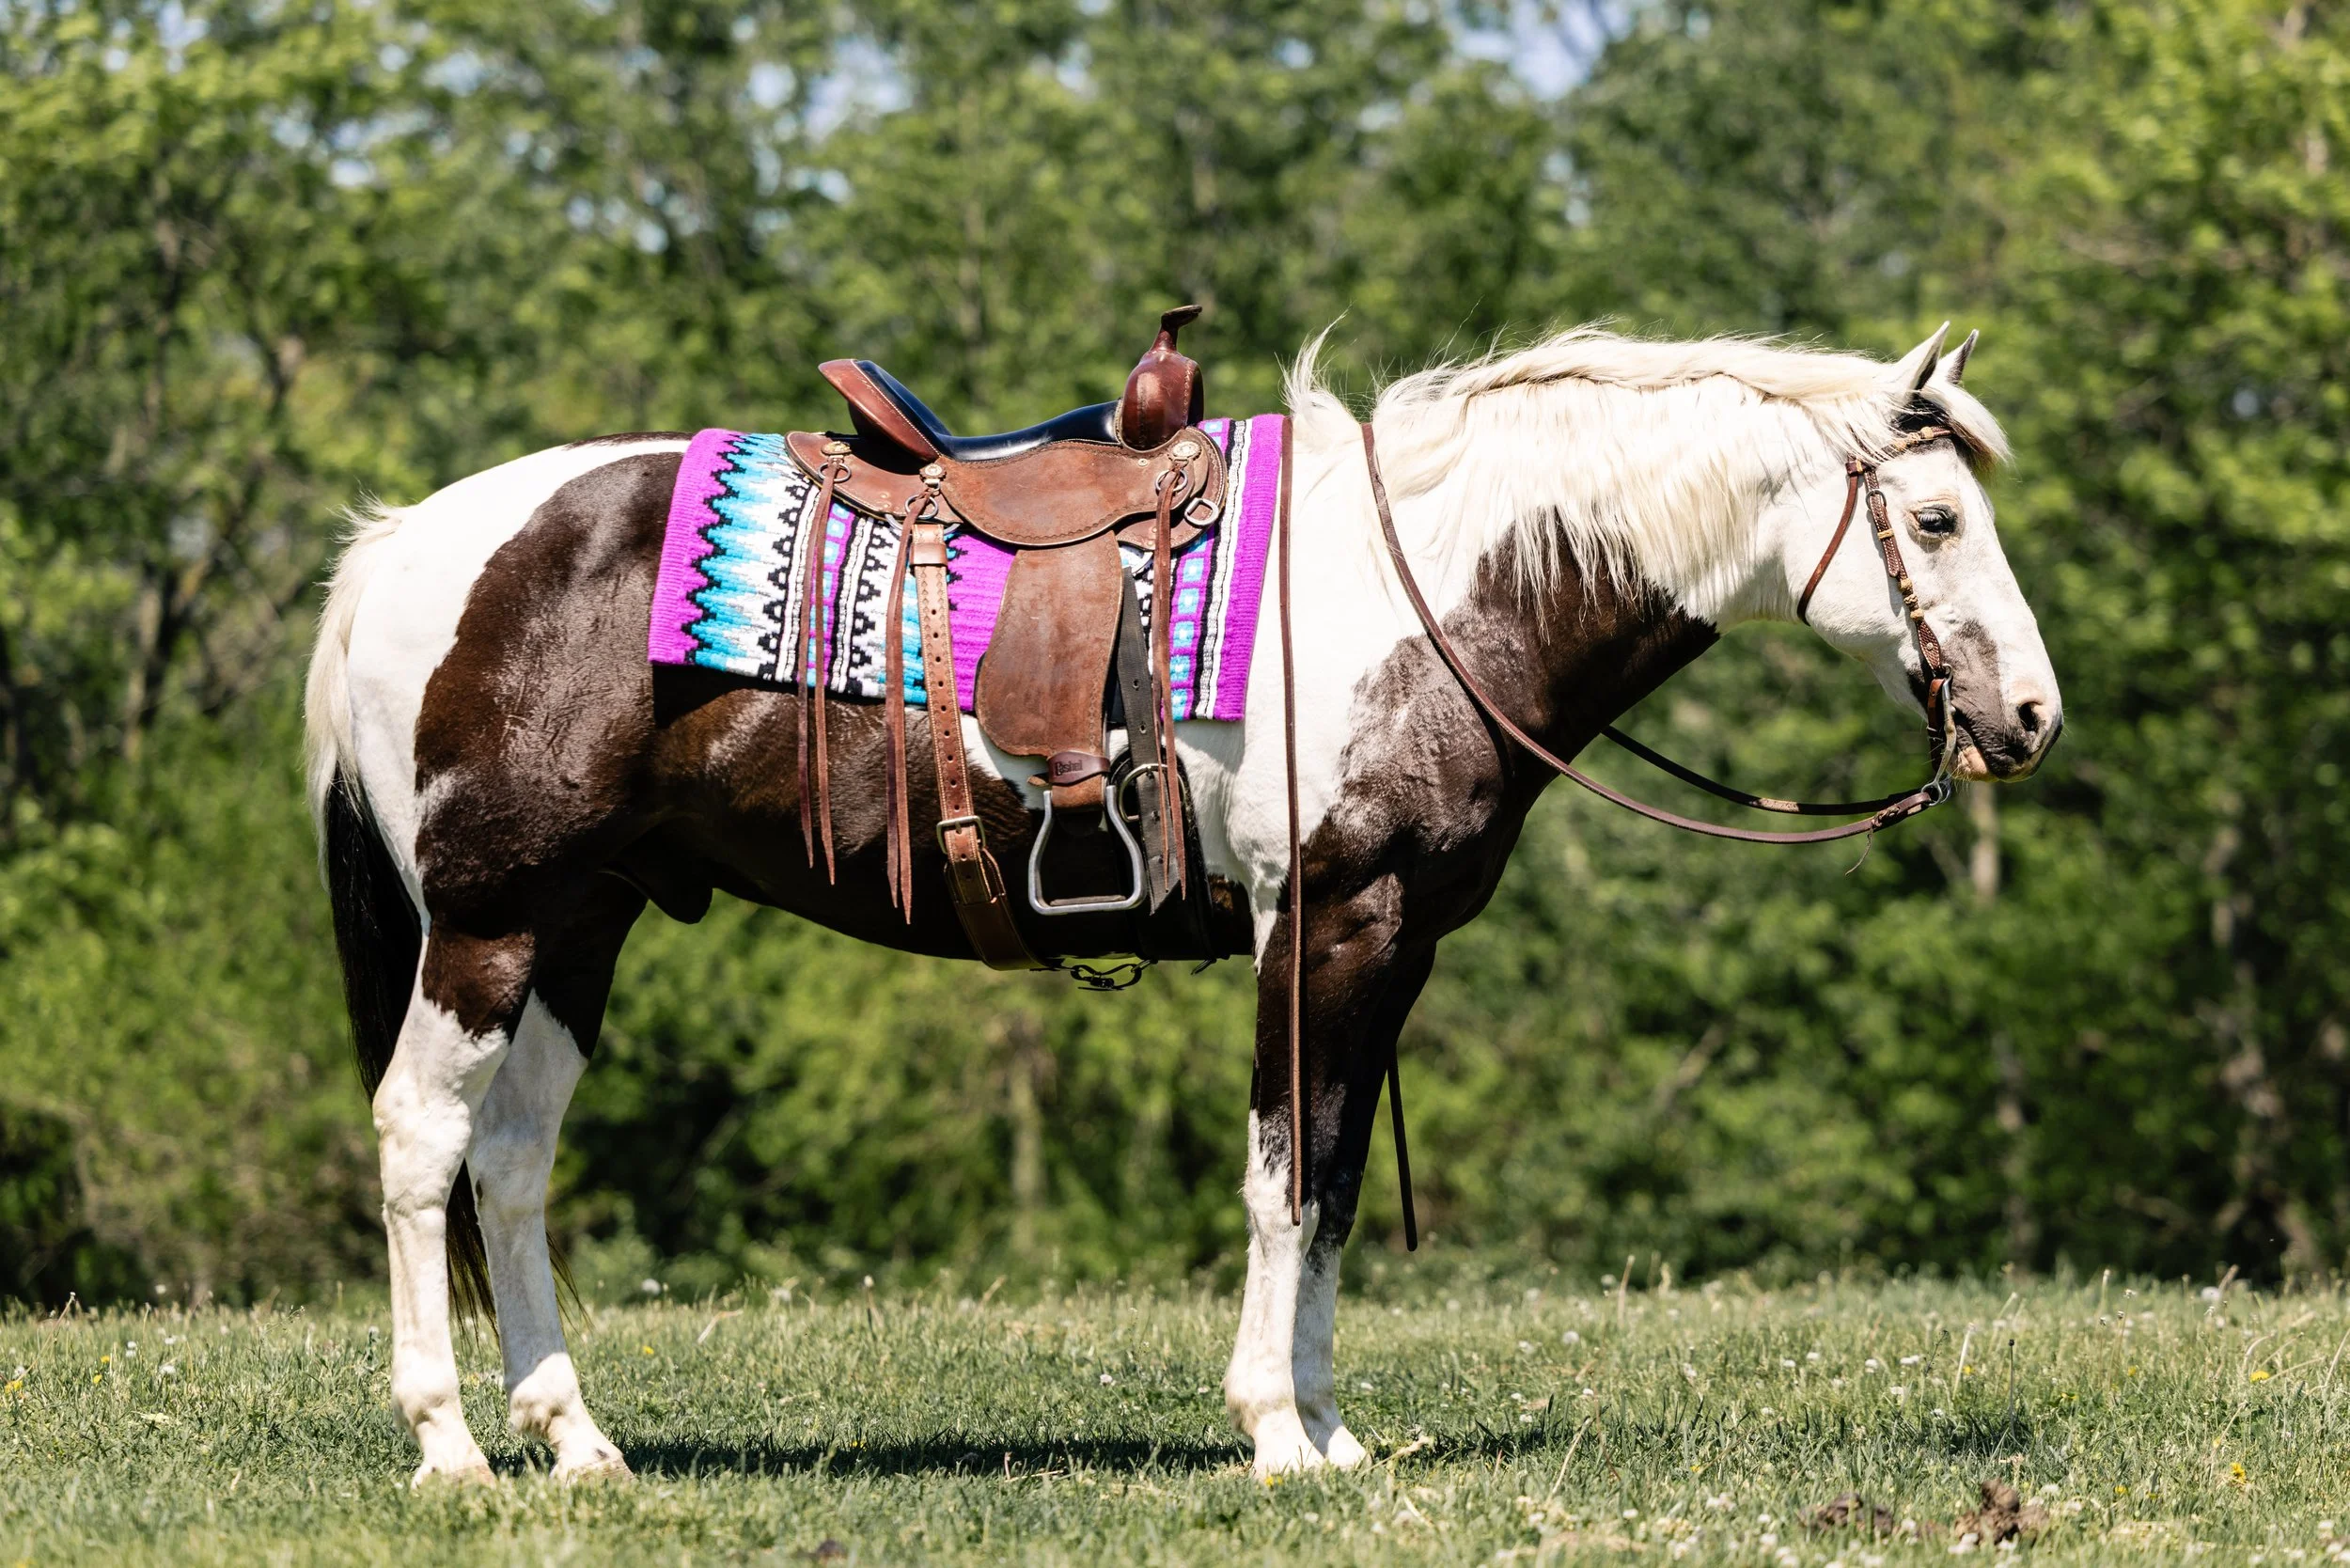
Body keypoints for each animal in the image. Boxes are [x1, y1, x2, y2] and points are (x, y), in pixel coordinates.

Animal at [303, 322, 2061, 1484]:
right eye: (1934, 520)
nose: (2034, 718)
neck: (1424, 588)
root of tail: (398, 548)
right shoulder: (1331, 922)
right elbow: (1287, 1181)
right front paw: (1278, 1433)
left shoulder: (1388, 945)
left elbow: (1333, 1179)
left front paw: (1332, 1433)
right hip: (488, 923)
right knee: (420, 1140)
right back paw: (450, 1446)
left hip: (580, 924)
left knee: (511, 1162)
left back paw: (577, 1439)